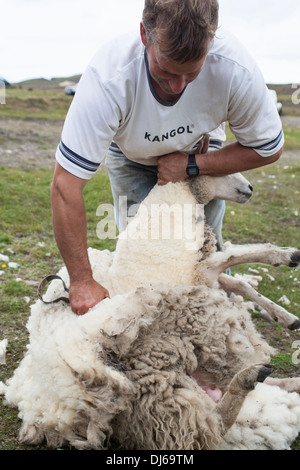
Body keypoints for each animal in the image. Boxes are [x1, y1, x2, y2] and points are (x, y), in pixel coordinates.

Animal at [0, 170, 300, 452]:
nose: (250, 188)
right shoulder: (199, 274)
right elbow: (233, 258)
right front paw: (285, 255)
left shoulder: (202, 277)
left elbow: (240, 282)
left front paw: (285, 316)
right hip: (148, 368)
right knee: (207, 426)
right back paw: (250, 378)